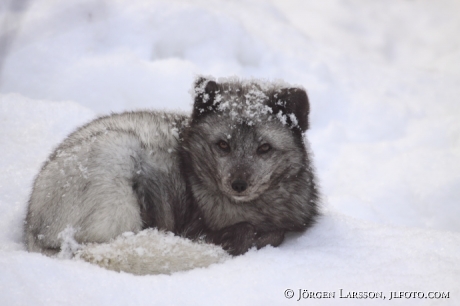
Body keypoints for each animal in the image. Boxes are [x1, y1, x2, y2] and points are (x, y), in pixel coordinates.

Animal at [24, 76, 320, 256]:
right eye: (223, 145)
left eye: (264, 148)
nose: (238, 185)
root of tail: (33, 230)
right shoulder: (194, 225)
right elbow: (259, 233)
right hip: (119, 150)